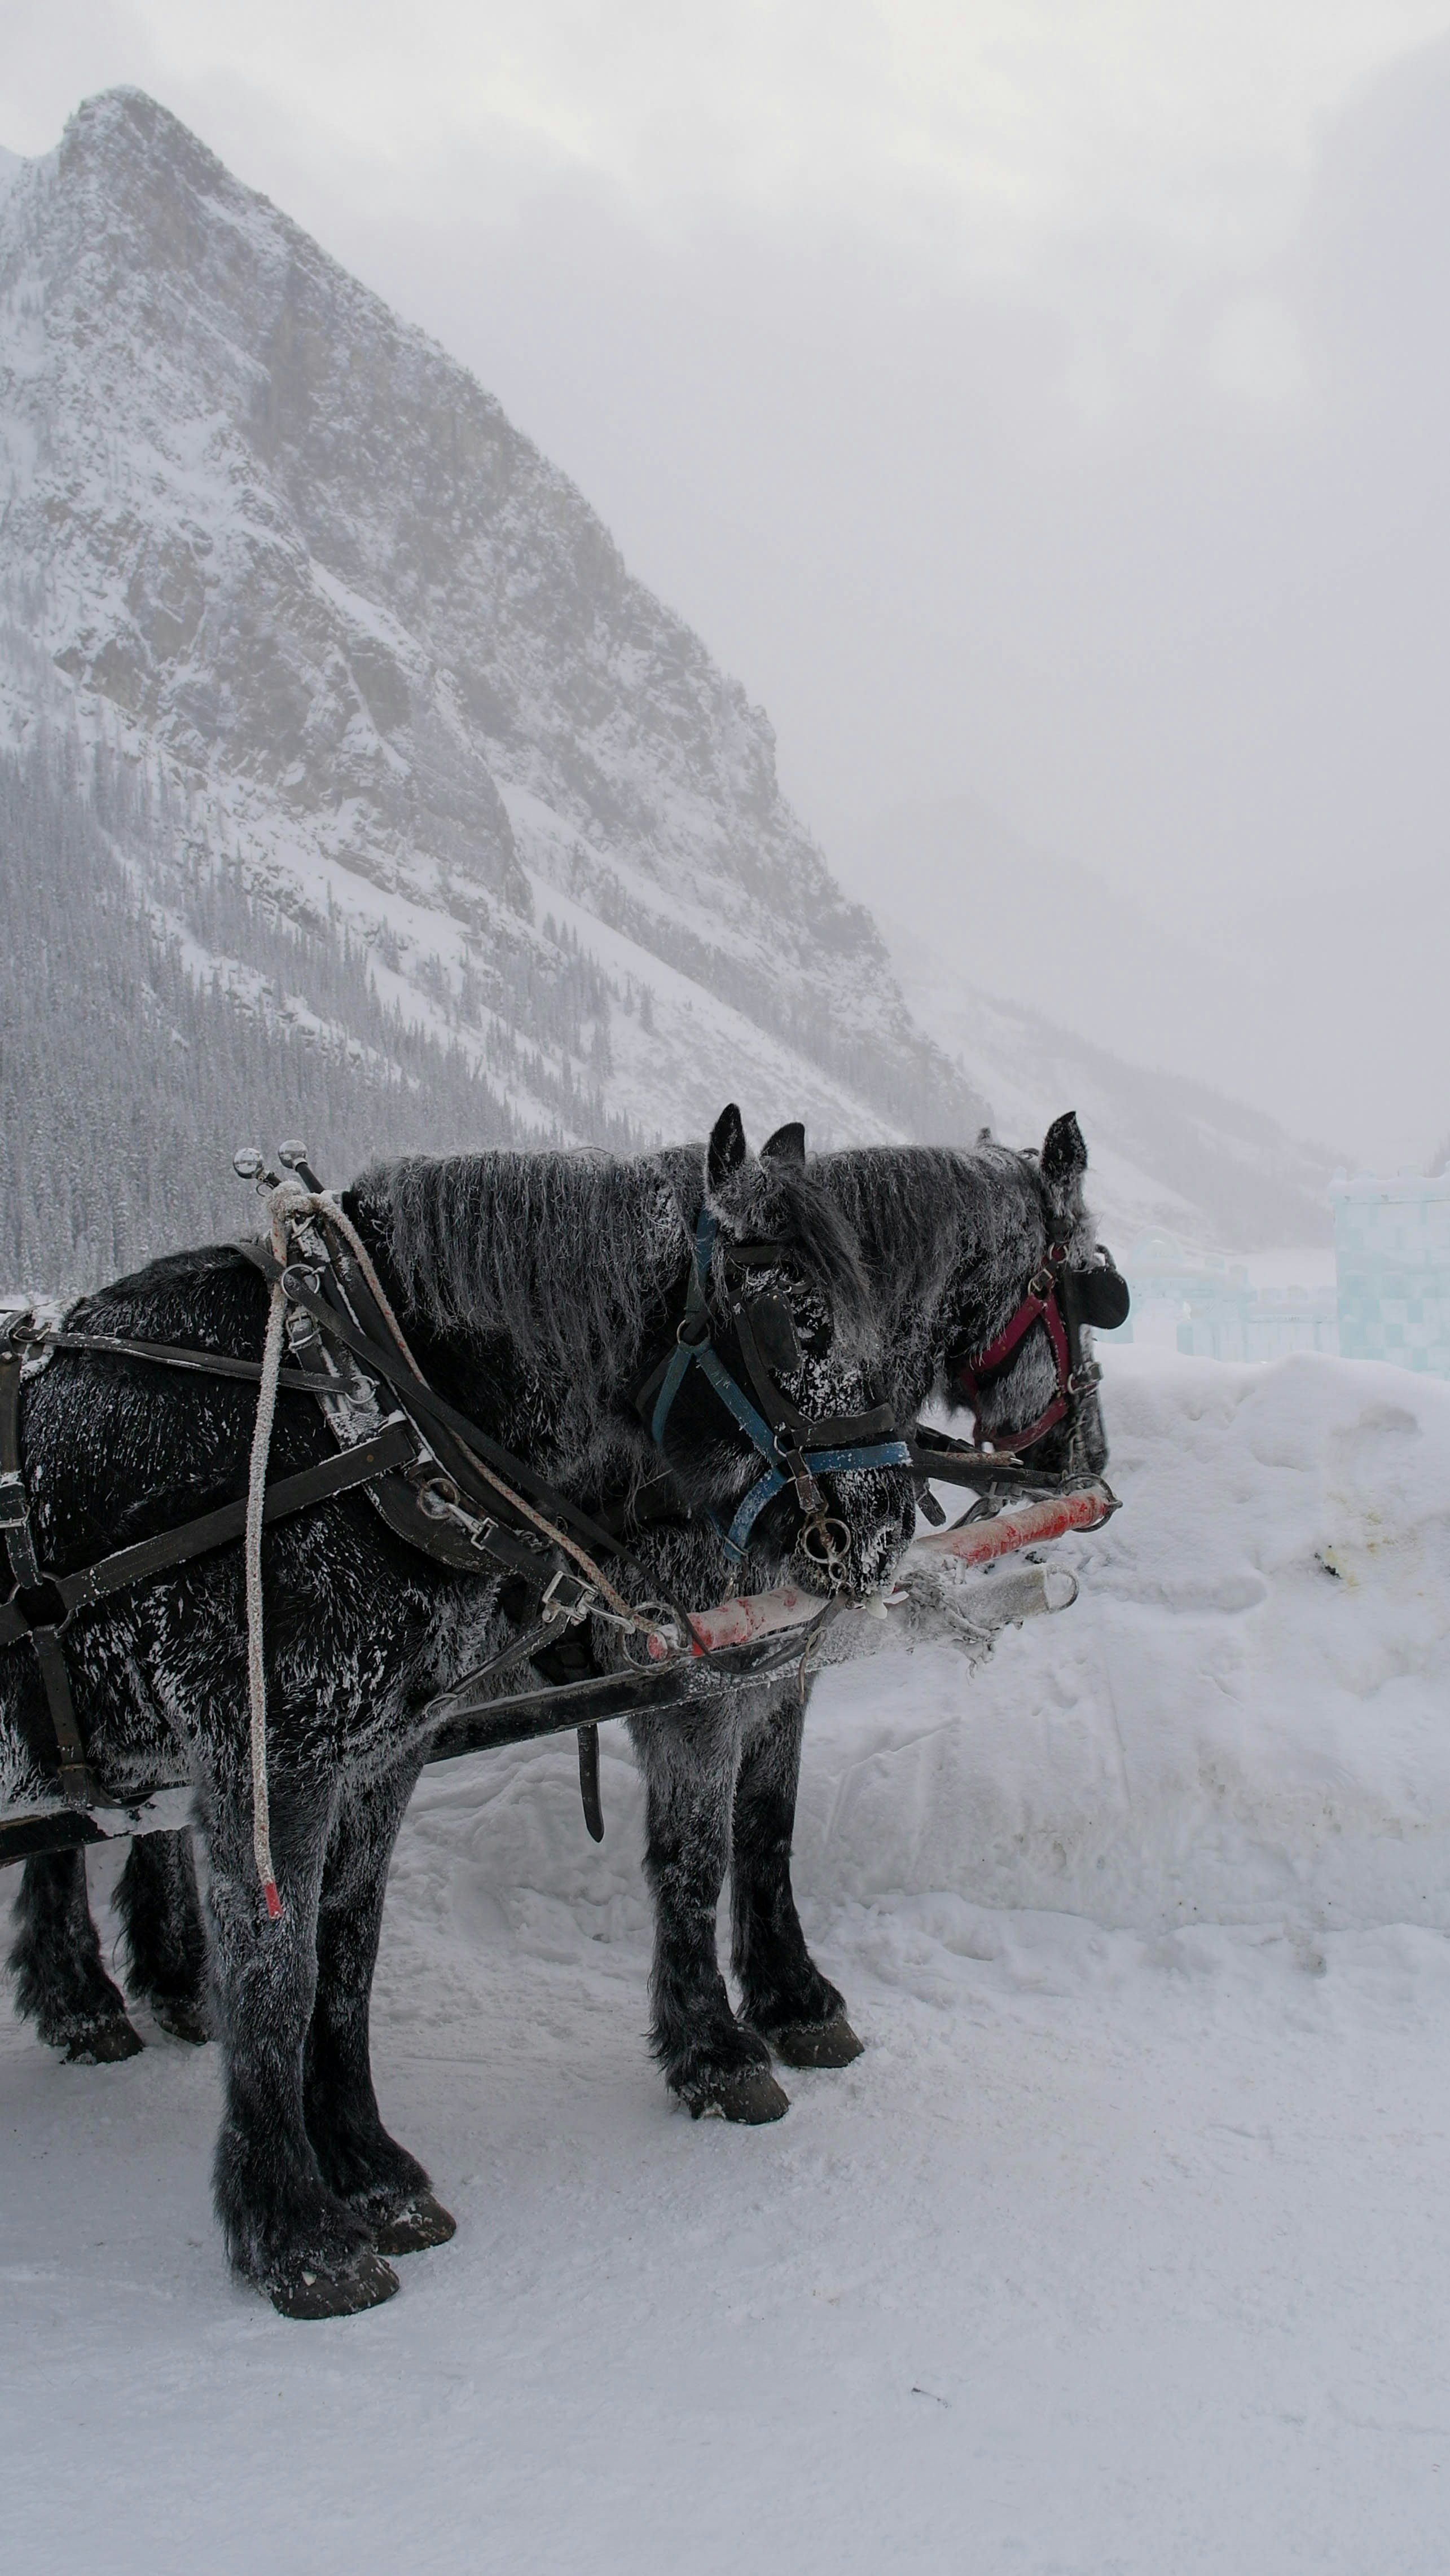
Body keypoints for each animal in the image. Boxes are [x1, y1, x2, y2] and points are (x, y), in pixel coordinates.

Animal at [5, 1112, 1114, 2300]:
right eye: (789, 1325)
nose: (1087, 1464)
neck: (374, 1411)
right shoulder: (318, 1748)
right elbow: (294, 1964)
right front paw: (297, 2230)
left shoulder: (736, 1672)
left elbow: (753, 1836)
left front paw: (793, 2000)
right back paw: (92, 1996)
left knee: (124, 1827)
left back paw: (146, 1984)